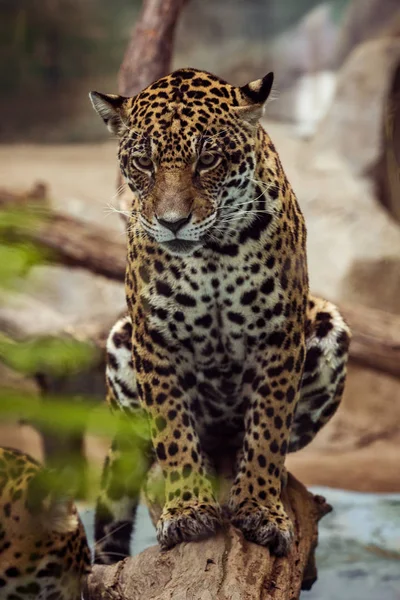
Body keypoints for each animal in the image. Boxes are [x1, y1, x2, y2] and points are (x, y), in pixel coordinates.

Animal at [90, 67, 350, 564]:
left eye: (208, 160)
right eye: (143, 163)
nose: (172, 222)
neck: (212, 252)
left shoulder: (280, 332)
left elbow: (268, 429)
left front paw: (261, 508)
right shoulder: (154, 336)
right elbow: (172, 428)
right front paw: (188, 508)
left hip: (330, 326)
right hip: (120, 343)